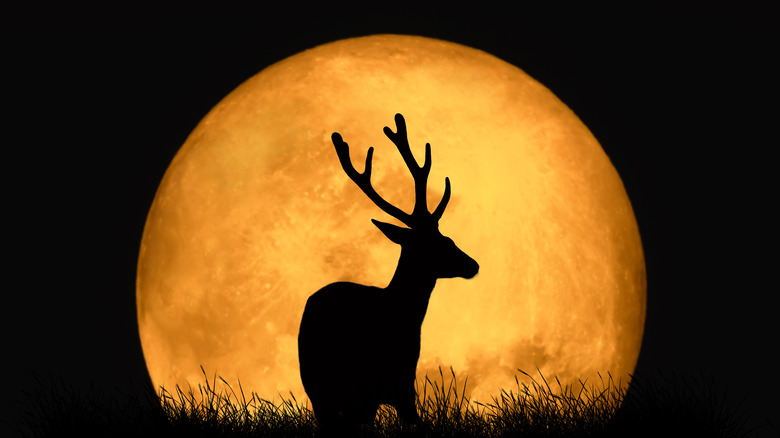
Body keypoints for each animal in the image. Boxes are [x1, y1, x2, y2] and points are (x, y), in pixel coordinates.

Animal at [297, 113, 479, 429]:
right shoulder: (399, 386)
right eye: (442, 242)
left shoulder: (388, 390)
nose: (473, 264)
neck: (400, 315)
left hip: (321, 388)